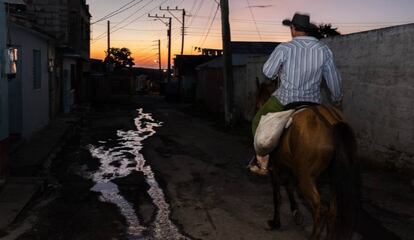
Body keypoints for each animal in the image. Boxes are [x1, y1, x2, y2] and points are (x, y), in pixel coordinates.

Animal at [258, 81, 360, 239]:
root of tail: (330, 122)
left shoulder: (276, 168)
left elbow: (278, 195)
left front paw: (275, 222)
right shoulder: (288, 167)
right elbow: (288, 186)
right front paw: (296, 213)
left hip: (305, 176)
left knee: (321, 207)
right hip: (333, 177)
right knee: (333, 209)